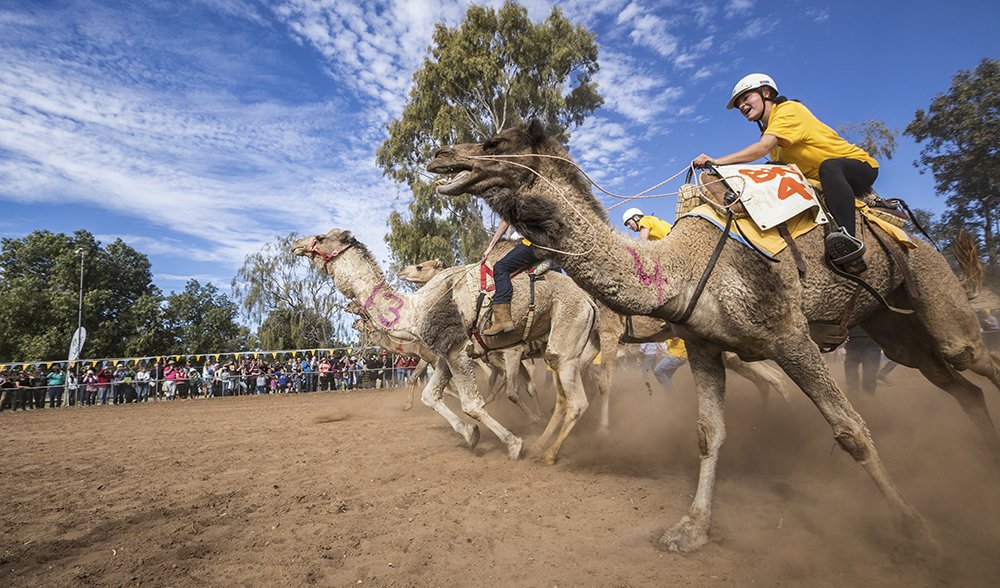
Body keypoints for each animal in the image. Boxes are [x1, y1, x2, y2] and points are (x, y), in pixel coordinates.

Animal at [290, 230, 600, 464]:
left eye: (320, 237)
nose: (296, 244)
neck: (414, 310)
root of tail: (589, 302)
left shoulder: (458, 350)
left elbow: (471, 404)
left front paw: (513, 444)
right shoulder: (443, 355)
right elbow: (430, 395)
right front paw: (470, 434)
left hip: (564, 334)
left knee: (575, 400)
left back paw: (548, 452)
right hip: (565, 346)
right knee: (565, 395)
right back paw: (545, 441)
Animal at [426, 120, 1000, 560]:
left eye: (494, 143)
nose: (440, 156)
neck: (683, 268)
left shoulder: (789, 335)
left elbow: (850, 430)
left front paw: (918, 534)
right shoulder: (704, 347)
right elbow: (708, 433)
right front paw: (691, 531)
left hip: (932, 294)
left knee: (974, 357)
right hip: (892, 328)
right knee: (961, 385)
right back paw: (984, 453)